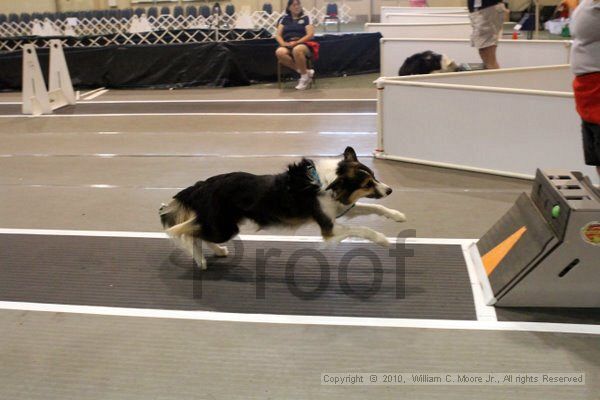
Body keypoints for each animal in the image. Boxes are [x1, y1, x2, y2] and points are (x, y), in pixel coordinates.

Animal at [161, 147, 408, 268]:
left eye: (374, 177)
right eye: (367, 184)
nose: (389, 191)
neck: (328, 182)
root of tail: (201, 185)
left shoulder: (338, 210)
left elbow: (373, 209)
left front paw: (398, 215)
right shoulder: (329, 228)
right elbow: (363, 230)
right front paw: (383, 240)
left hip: (223, 225)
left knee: (196, 230)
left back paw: (218, 252)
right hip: (224, 227)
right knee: (183, 232)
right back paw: (199, 260)